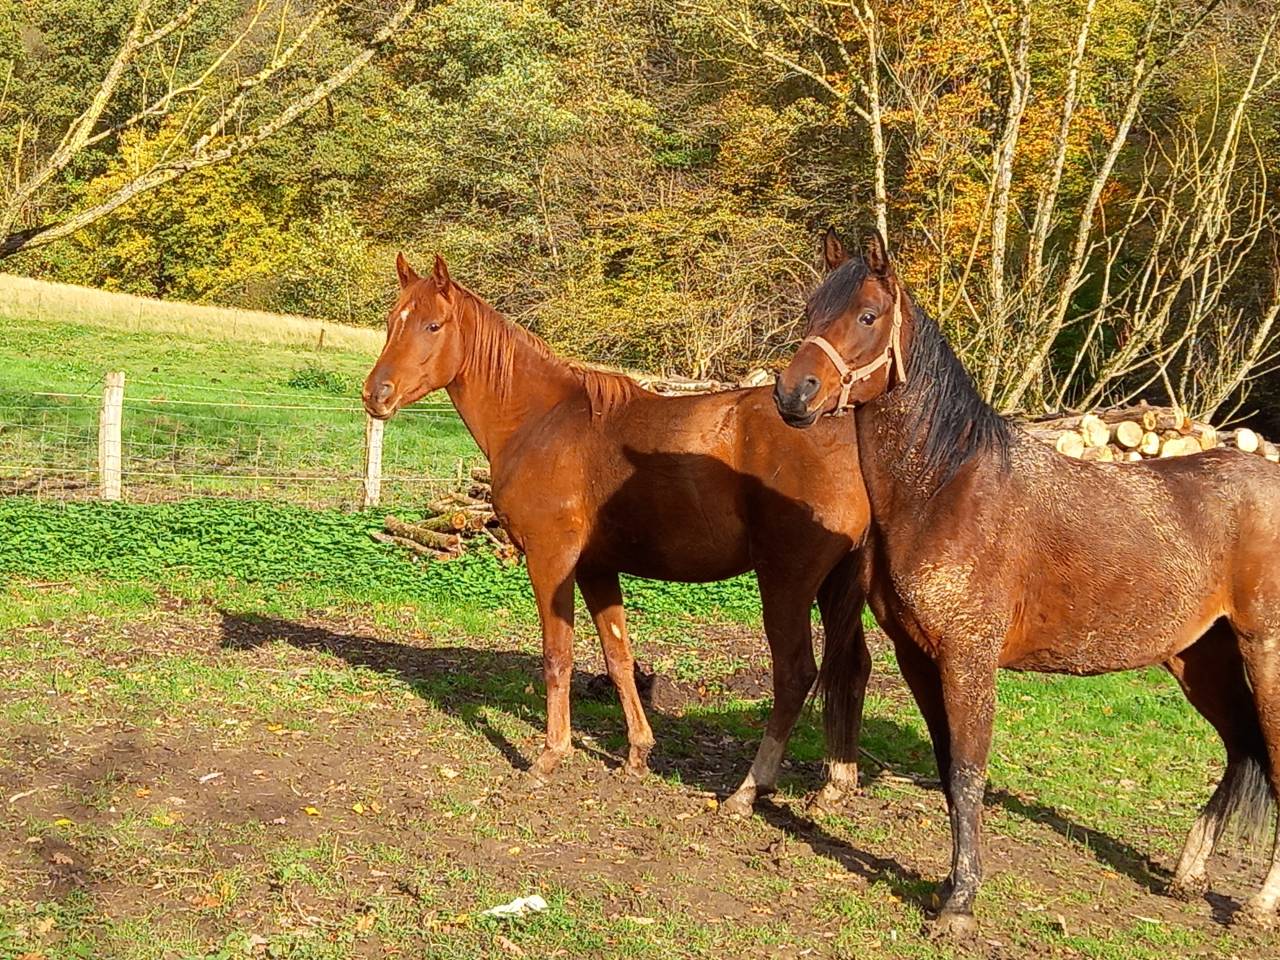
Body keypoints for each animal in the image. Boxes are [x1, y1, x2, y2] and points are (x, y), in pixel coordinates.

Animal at [363, 252, 873, 814]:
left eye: (433, 325)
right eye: (393, 322)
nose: (375, 394)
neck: (542, 421)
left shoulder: (552, 561)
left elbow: (557, 655)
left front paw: (550, 756)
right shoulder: (597, 568)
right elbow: (619, 656)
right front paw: (638, 753)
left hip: (786, 582)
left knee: (796, 674)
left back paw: (747, 791)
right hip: (834, 586)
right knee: (853, 669)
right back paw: (834, 785)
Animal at [773, 228, 1280, 935]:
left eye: (867, 316)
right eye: (811, 312)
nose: (793, 394)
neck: (946, 490)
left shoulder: (968, 659)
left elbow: (967, 773)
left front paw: (958, 905)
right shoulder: (920, 657)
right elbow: (949, 769)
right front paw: (949, 887)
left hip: (1263, 655)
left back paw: (1259, 907)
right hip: (1200, 658)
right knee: (1240, 751)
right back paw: (1187, 876)